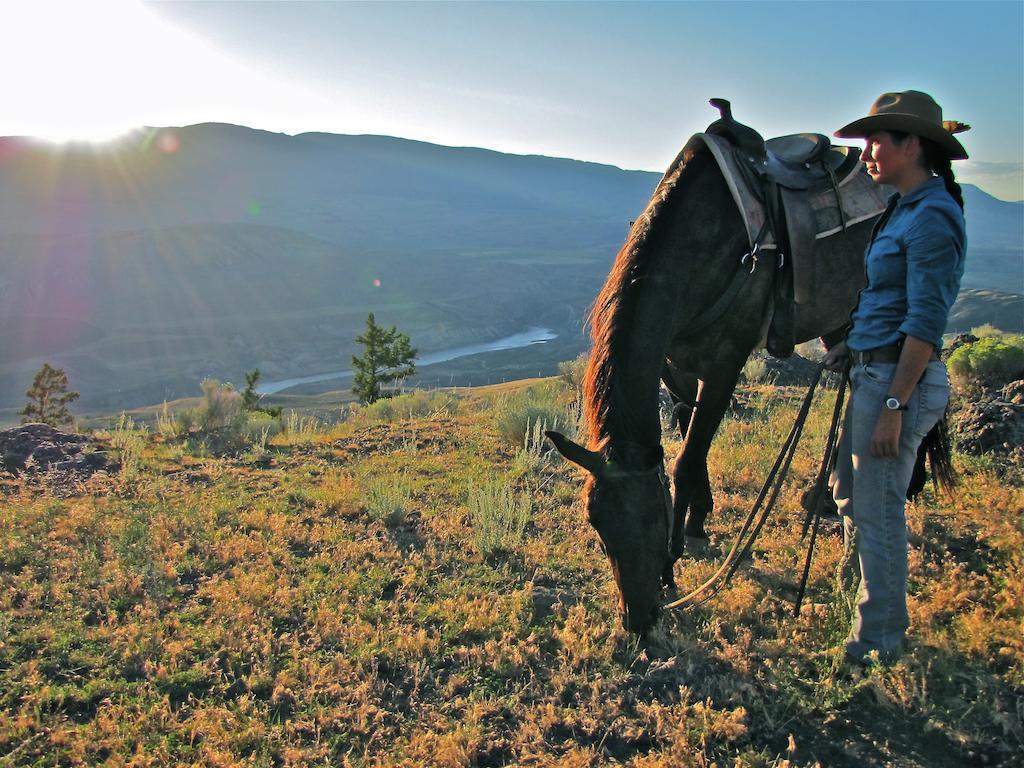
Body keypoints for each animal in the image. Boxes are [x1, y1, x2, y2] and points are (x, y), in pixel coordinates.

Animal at [544, 132, 880, 638]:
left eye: (653, 516)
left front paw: (673, 562)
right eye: (597, 529)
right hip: (837, 322)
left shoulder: (724, 367)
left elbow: (686, 459)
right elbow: (688, 440)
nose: (637, 622)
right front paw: (699, 519)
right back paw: (822, 498)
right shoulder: (675, 368)